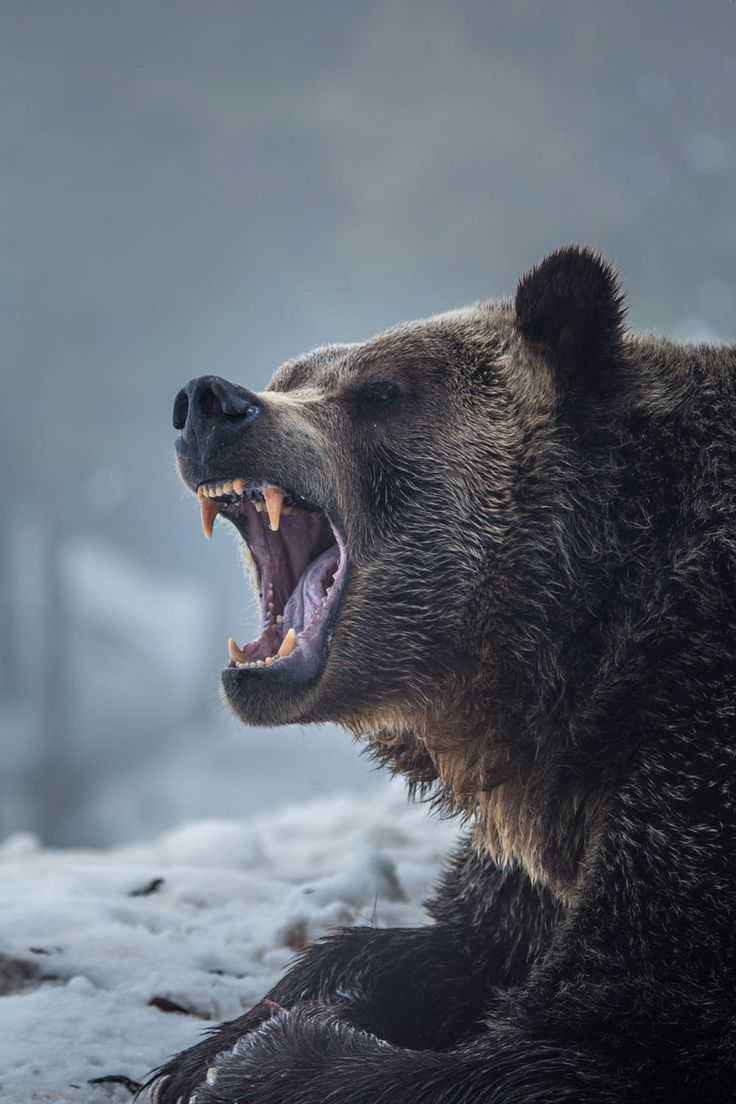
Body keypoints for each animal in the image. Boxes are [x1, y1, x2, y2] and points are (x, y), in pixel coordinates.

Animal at [147, 246, 736, 1102]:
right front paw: (217, 1043)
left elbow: (583, 1036)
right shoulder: (539, 828)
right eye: (291, 372)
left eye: (381, 392)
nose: (209, 402)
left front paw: (261, 1058)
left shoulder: (690, 756)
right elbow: (455, 943)